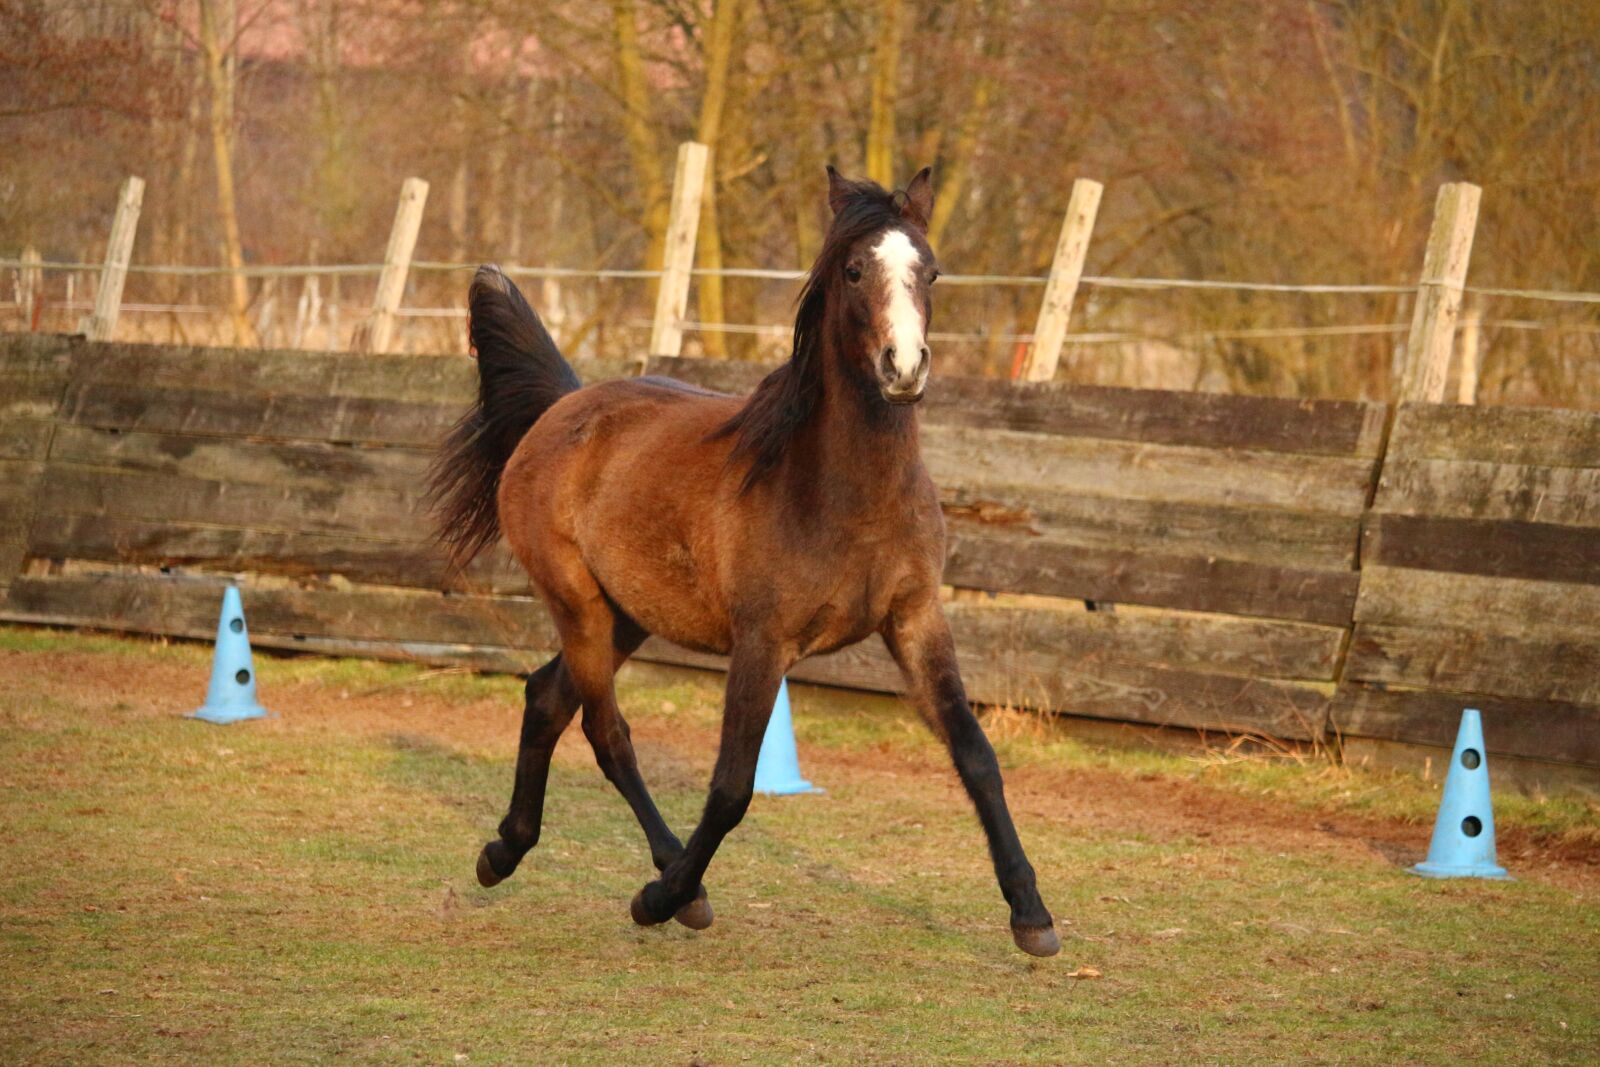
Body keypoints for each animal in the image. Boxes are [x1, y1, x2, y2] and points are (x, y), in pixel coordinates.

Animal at [428, 166, 1059, 957]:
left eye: (932, 270)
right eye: (854, 271)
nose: (904, 367)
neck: (834, 490)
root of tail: (562, 409)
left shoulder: (916, 619)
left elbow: (976, 755)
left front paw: (1032, 914)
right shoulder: (762, 643)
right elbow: (730, 787)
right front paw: (659, 899)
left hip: (626, 614)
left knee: (546, 698)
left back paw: (504, 851)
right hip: (577, 604)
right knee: (608, 734)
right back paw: (676, 885)